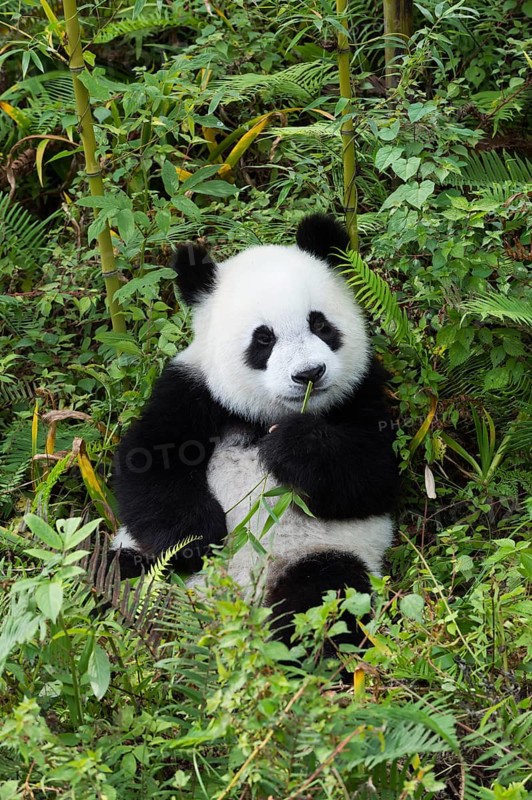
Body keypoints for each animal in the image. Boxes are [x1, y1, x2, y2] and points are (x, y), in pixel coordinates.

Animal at [112, 213, 399, 649]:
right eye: (263, 338)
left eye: (320, 323)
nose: (309, 374)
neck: (263, 414)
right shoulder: (192, 390)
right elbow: (146, 463)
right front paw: (197, 539)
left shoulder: (361, 390)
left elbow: (374, 474)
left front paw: (293, 447)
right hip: (134, 554)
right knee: (110, 567)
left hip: (320, 553)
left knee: (326, 594)